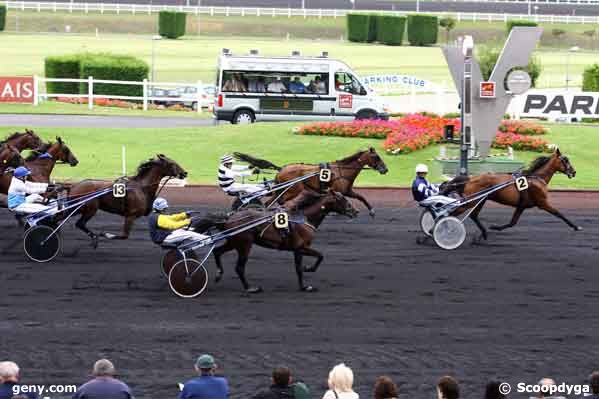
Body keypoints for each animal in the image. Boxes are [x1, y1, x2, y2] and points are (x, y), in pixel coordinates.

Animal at [204, 189, 358, 296]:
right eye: (342, 199)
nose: (355, 211)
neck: (303, 217)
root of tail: (228, 219)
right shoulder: (300, 248)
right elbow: (314, 259)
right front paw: (307, 276)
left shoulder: (298, 249)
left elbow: (309, 262)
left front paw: (305, 280)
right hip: (245, 245)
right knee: (239, 267)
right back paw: (250, 288)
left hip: (234, 242)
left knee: (217, 251)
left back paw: (218, 274)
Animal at [234, 148, 390, 216]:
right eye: (376, 157)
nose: (385, 169)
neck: (342, 171)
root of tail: (281, 169)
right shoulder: (340, 191)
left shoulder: (348, 190)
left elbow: (361, 197)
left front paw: (371, 211)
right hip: (293, 189)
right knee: (278, 201)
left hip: (283, 190)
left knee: (271, 202)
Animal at [440, 147, 580, 241]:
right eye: (565, 160)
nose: (573, 172)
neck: (536, 178)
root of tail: (470, 178)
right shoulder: (542, 203)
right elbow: (559, 213)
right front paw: (576, 227)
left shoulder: (521, 206)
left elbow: (512, 222)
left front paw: (495, 227)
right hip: (471, 201)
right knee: (451, 214)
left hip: (481, 200)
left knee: (473, 215)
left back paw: (483, 234)